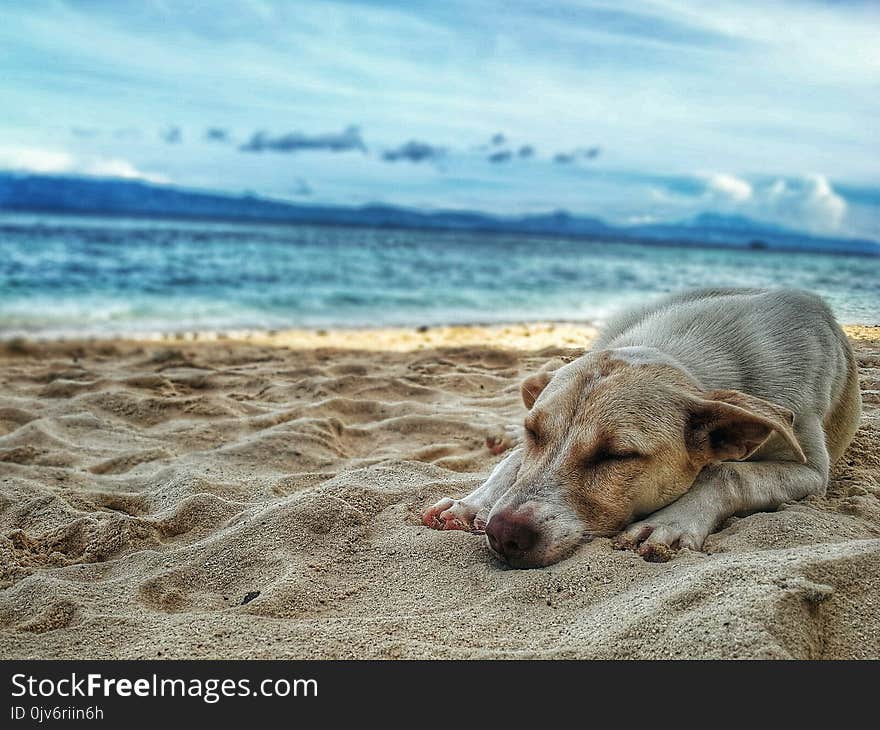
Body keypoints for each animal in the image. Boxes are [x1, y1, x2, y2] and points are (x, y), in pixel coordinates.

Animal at [422, 288, 864, 564]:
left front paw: (670, 522)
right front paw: (474, 501)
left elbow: (727, 471)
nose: (503, 533)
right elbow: (514, 463)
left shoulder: (811, 469)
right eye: (534, 433)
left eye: (616, 455)